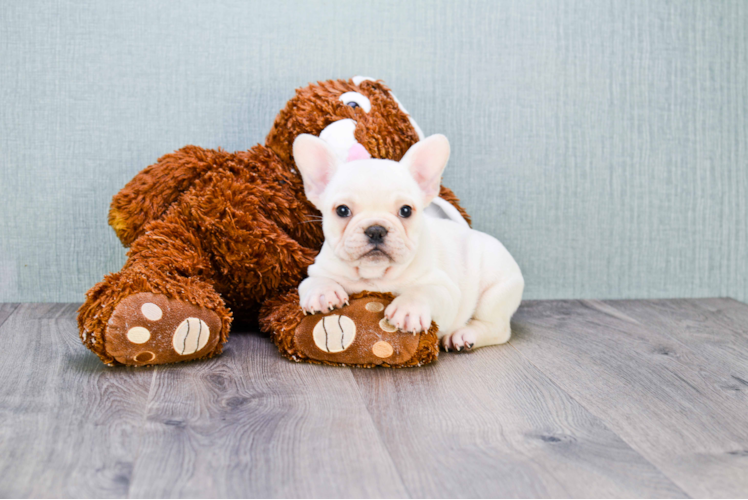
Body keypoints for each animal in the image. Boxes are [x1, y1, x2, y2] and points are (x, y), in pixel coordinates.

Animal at [294, 133, 524, 352]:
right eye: (342, 210)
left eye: (406, 210)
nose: (376, 230)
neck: (375, 274)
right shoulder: (319, 269)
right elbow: (313, 281)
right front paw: (322, 292)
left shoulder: (446, 289)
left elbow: (424, 290)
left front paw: (408, 308)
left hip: (495, 291)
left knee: (498, 328)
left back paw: (463, 335)